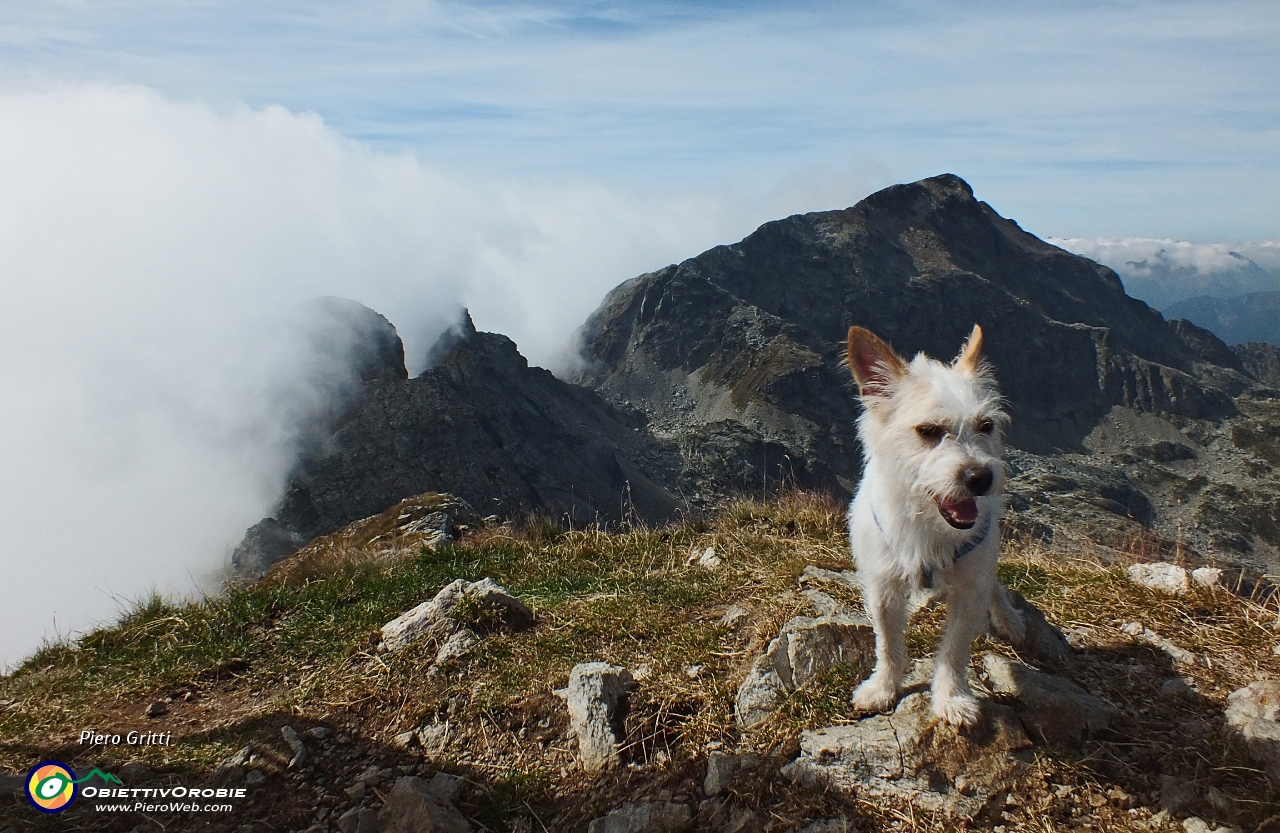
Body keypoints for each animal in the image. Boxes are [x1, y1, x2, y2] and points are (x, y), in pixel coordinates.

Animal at [844, 322, 1024, 726]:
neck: (930, 527)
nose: (981, 478)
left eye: (986, 426)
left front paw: (951, 698)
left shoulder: (969, 591)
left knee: (993, 584)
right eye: (928, 431)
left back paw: (1007, 617)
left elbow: (954, 650)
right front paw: (883, 687)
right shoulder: (882, 588)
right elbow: (887, 643)